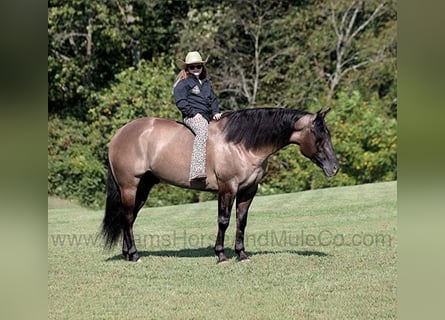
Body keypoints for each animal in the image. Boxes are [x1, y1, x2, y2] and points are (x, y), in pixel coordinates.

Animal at [101, 107, 336, 262]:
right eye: (319, 137)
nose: (334, 167)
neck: (241, 144)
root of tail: (118, 135)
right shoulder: (227, 187)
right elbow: (223, 221)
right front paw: (221, 254)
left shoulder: (248, 190)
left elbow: (241, 221)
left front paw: (241, 254)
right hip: (129, 187)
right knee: (127, 218)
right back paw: (134, 255)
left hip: (143, 188)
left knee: (128, 218)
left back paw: (127, 254)